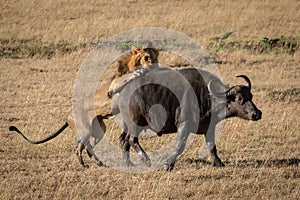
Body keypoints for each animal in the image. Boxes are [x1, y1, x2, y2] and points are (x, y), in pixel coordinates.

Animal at [8, 45, 159, 167]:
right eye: (146, 57)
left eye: (155, 57)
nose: (155, 66)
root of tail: (68, 116)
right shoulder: (114, 85)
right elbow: (129, 76)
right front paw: (139, 72)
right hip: (85, 131)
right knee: (78, 148)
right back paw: (83, 165)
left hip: (99, 130)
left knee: (88, 147)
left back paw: (100, 163)